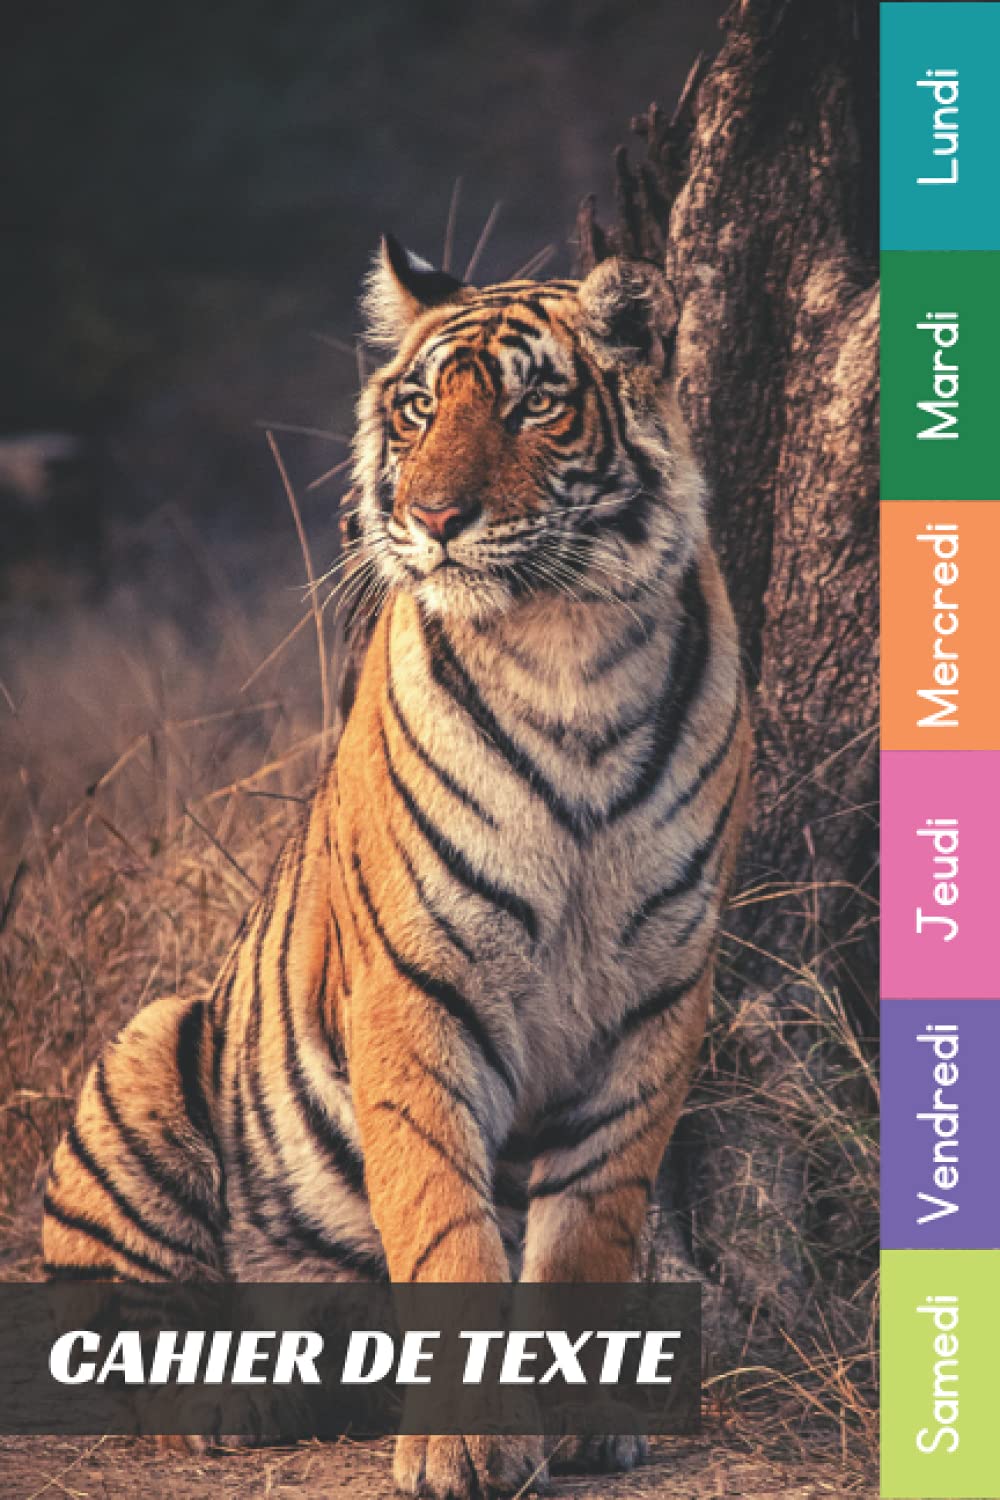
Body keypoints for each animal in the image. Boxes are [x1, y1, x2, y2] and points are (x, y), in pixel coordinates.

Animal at [42, 235, 751, 1497]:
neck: (570, 649)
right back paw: (226, 1401)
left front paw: (583, 1416)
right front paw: (467, 1448)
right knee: (124, 1328)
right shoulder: (422, 979)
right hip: (144, 1053)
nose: (433, 515)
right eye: (418, 409)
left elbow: (594, 1217)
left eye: (532, 405)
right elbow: (441, 1215)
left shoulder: (659, 986)